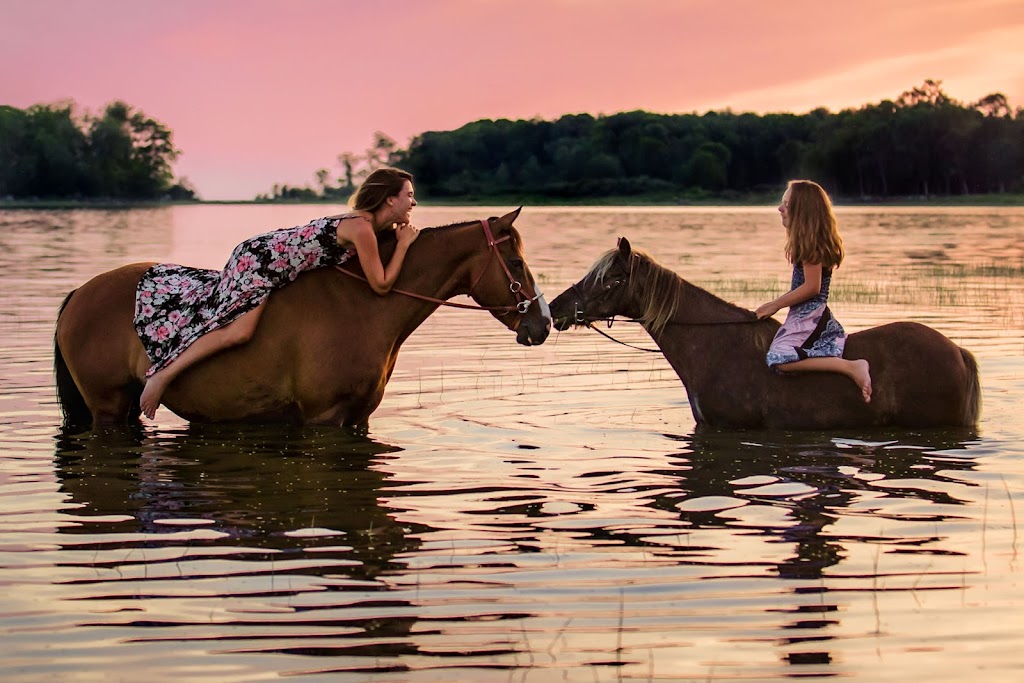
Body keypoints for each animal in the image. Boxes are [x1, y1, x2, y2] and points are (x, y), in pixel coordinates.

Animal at [54, 209, 552, 432]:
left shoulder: (358, 417)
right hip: (107, 409)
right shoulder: (324, 419)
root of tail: (79, 293)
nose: (543, 323)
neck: (366, 305)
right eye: (514, 260)